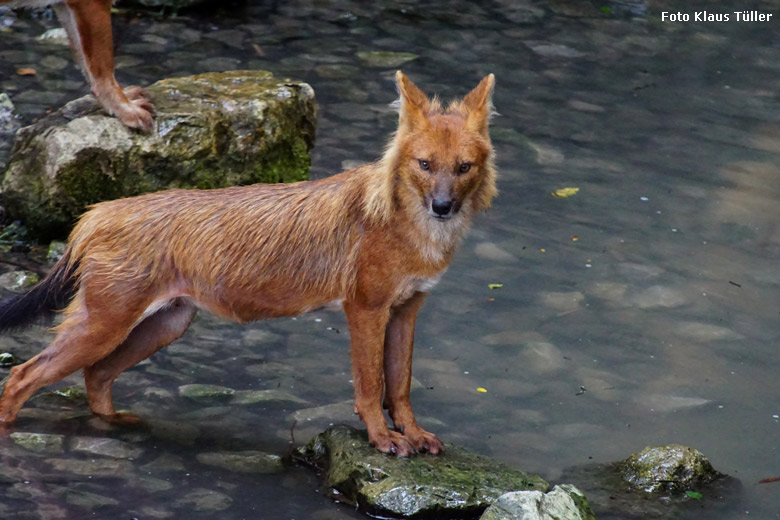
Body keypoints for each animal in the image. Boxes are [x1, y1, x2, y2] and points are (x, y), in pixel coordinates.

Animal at [0, 72, 496, 456]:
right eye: (425, 164)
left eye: (464, 167)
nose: (442, 206)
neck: (412, 230)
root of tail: (97, 212)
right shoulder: (365, 310)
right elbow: (371, 386)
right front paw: (383, 439)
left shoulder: (407, 309)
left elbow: (402, 384)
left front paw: (414, 435)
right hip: (105, 323)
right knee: (22, 375)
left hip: (165, 324)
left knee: (96, 375)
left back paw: (118, 423)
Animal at [3, 0, 155, 130]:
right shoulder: (92, 3)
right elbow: (103, 66)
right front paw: (126, 109)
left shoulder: (65, 5)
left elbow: (86, 63)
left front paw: (126, 95)